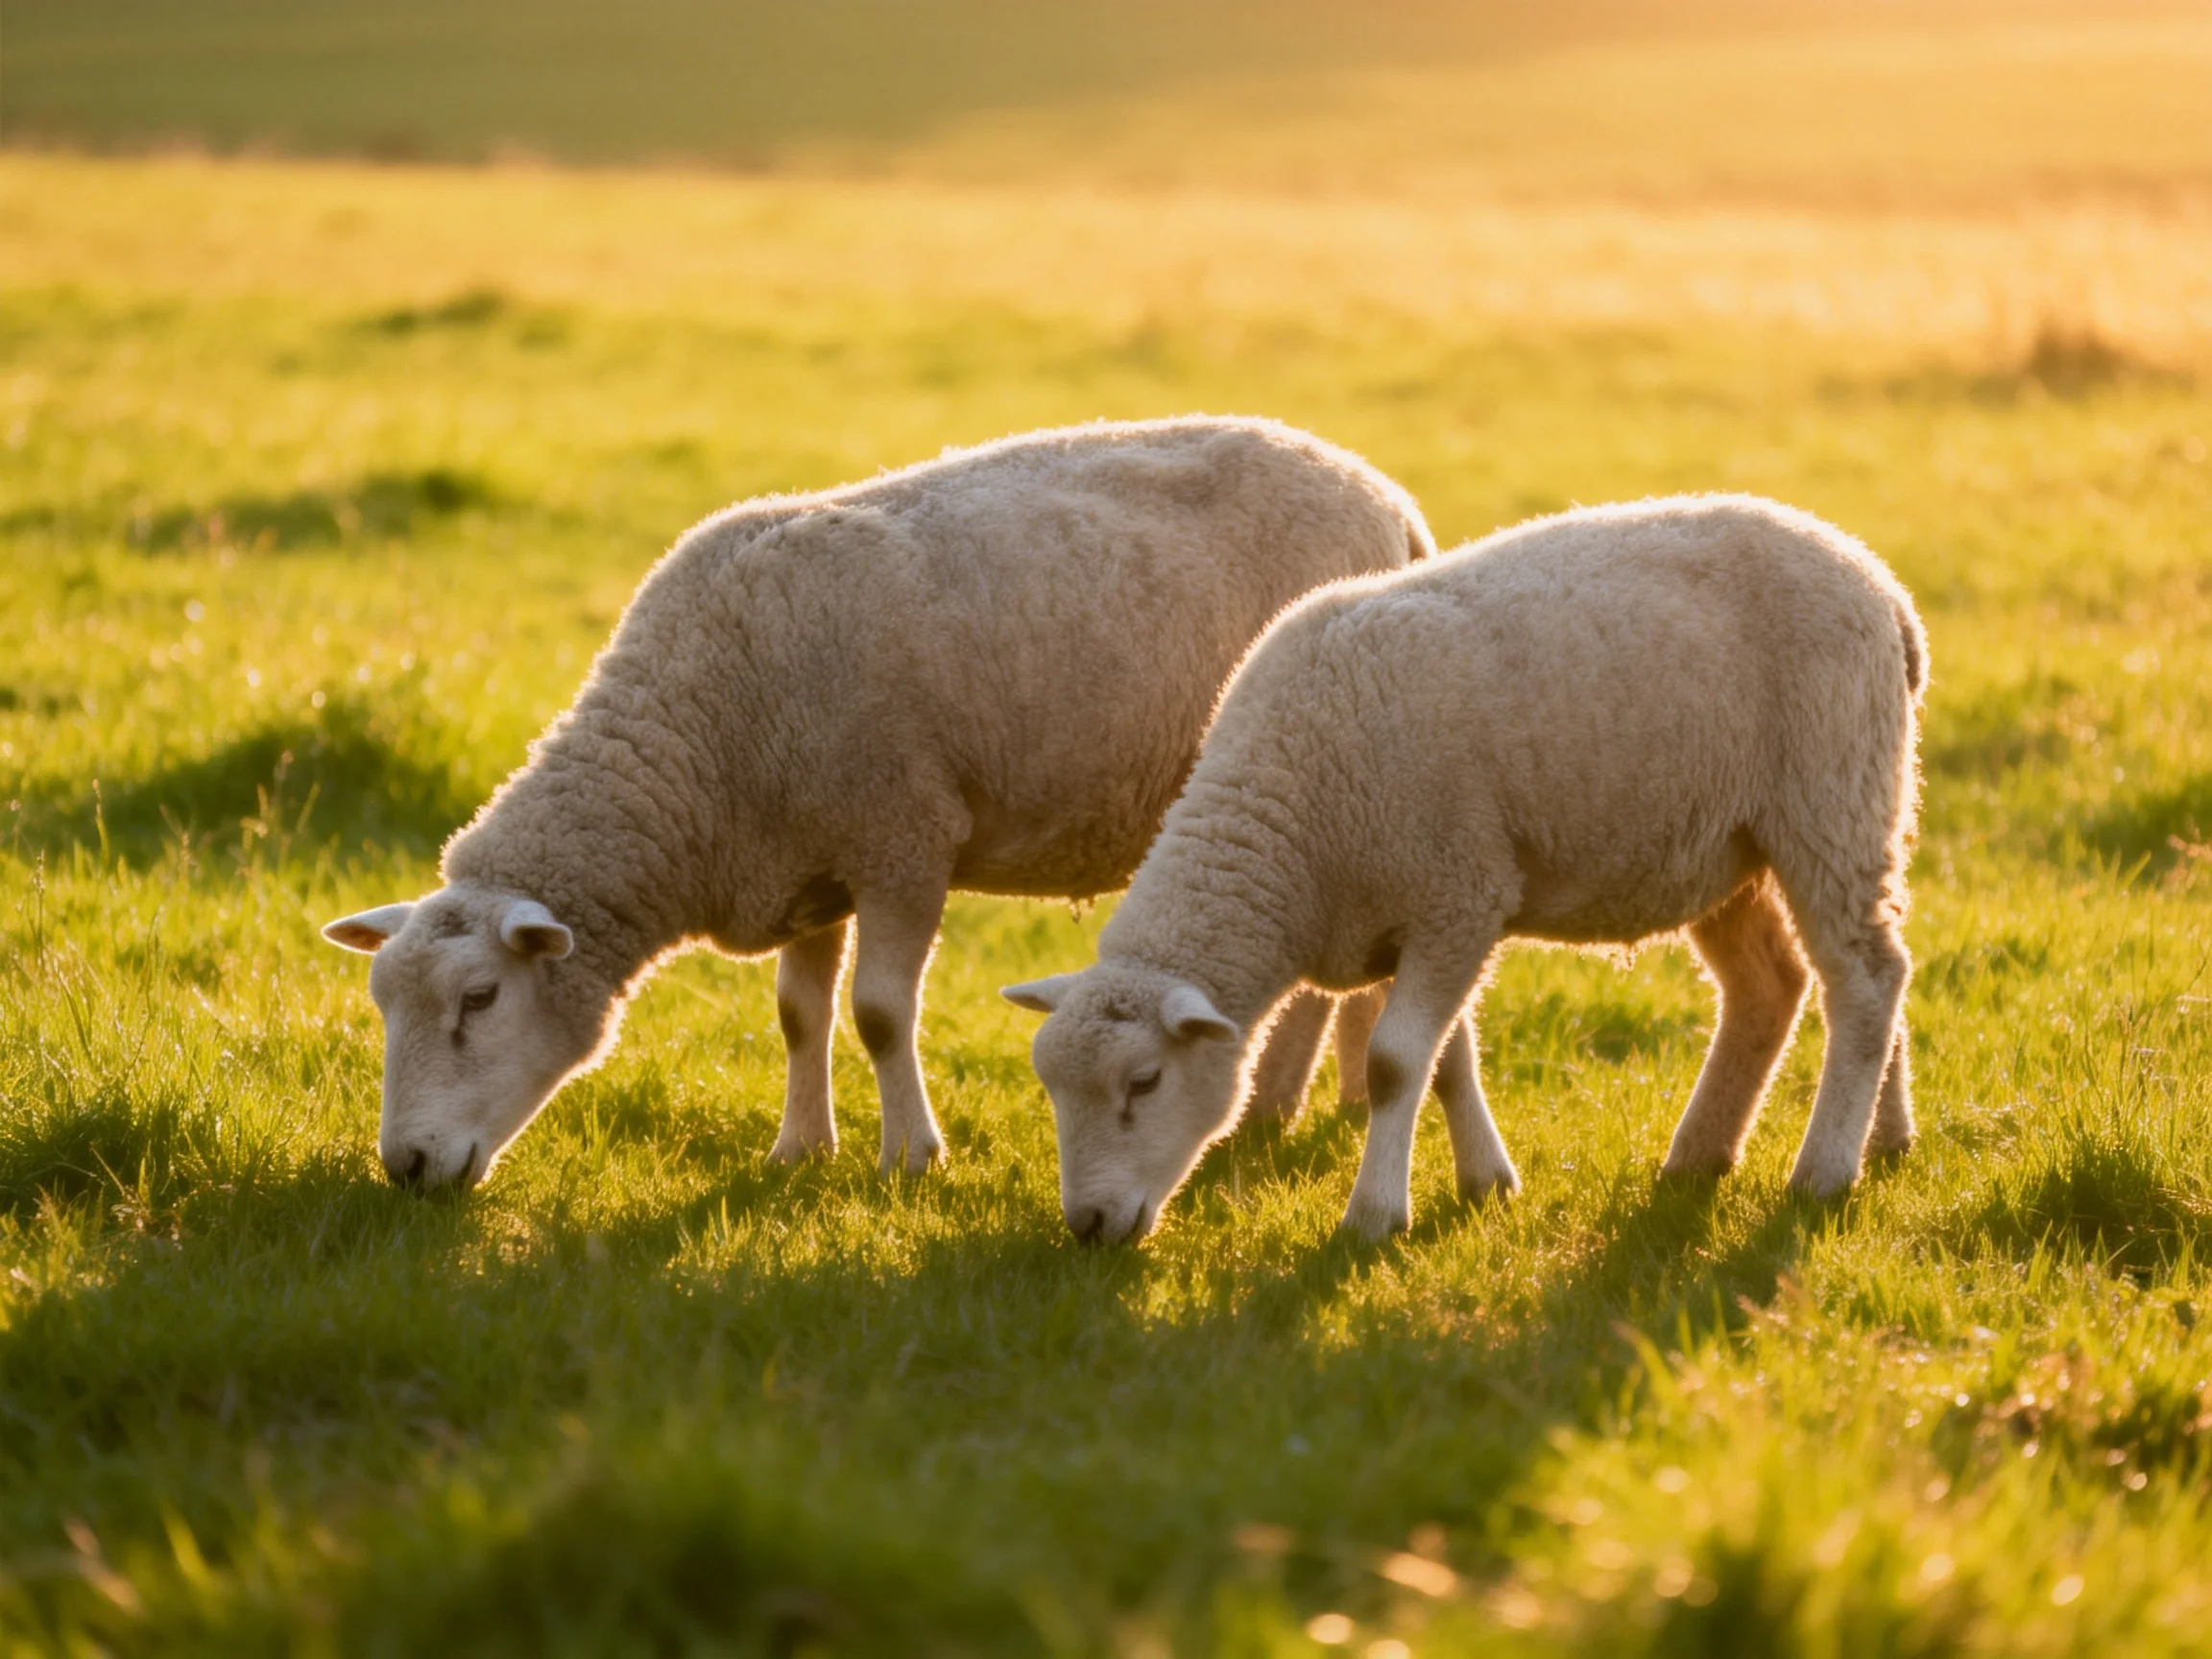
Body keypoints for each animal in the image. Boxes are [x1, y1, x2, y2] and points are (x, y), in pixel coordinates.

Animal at [322, 415, 1431, 1190]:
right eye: (382, 1002)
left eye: (478, 999)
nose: (406, 1168)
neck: (694, 745)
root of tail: (1388, 497)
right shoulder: (805, 864)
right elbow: (799, 1015)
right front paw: (800, 1149)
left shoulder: (902, 837)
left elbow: (880, 1013)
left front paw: (911, 1157)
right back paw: (1338, 1095)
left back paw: (1273, 1107)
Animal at [1005, 494, 1927, 1243]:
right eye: (1050, 1089)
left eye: (1144, 1082)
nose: (1088, 1227)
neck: (1291, 831)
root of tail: (1882, 585)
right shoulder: (1414, 919)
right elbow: (1444, 1059)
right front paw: (1487, 1181)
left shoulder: (1460, 894)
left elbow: (1392, 1064)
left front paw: (1375, 1216)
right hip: (1734, 841)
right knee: (1779, 985)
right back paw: (1760, 1149)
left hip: (1831, 794)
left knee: (1865, 978)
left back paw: (1824, 1170)